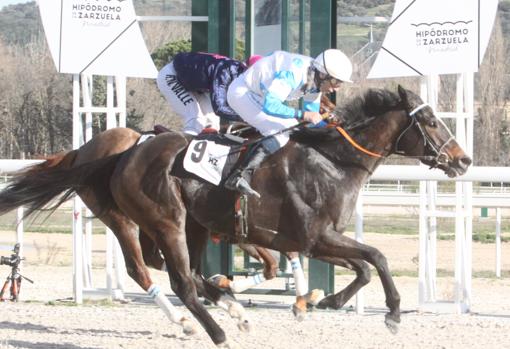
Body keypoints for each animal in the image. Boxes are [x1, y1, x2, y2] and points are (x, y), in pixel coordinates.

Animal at [0, 86, 470, 346]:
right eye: (430, 120)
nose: (463, 160)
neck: (331, 160)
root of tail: (121, 152)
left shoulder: (314, 240)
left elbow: (365, 266)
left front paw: (325, 300)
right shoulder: (315, 237)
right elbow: (378, 257)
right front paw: (391, 314)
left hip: (188, 224)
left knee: (184, 274)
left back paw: (232, 311)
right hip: (159, 220)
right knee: (171, 278)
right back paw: (214, 330)